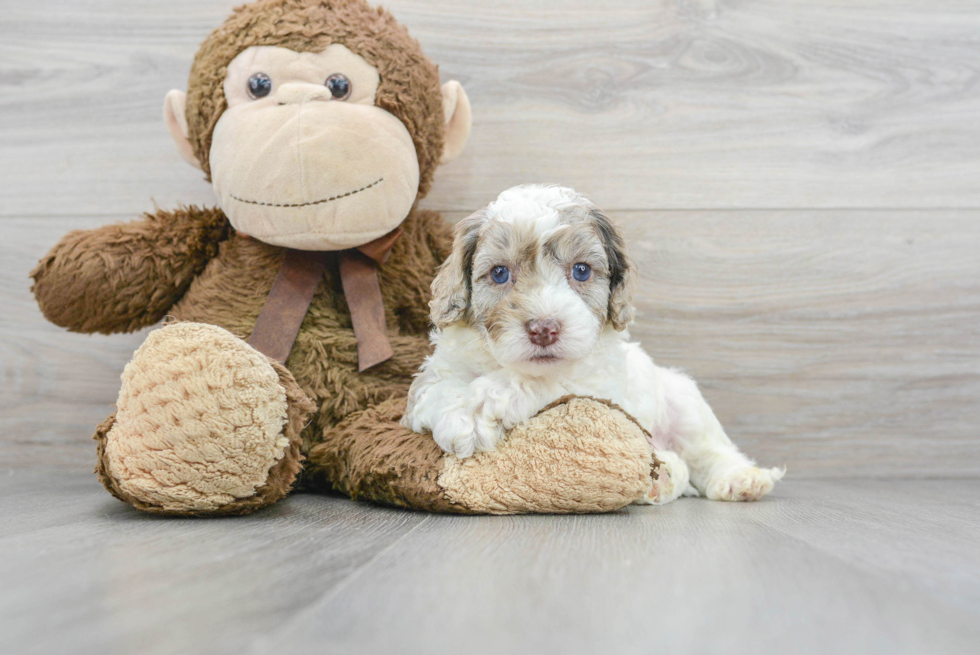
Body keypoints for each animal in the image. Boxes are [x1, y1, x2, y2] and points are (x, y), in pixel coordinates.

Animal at [402, 187, 784, 504]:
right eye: (499, 273)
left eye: (582, 270)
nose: (544, 329)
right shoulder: (430, 379)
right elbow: (436, 391)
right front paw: (462, 417)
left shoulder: (595, 382)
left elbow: (541, 380)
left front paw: (480, 407)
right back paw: (663, 478)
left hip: (684, 401)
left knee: (709, 452)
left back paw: (740, 479)